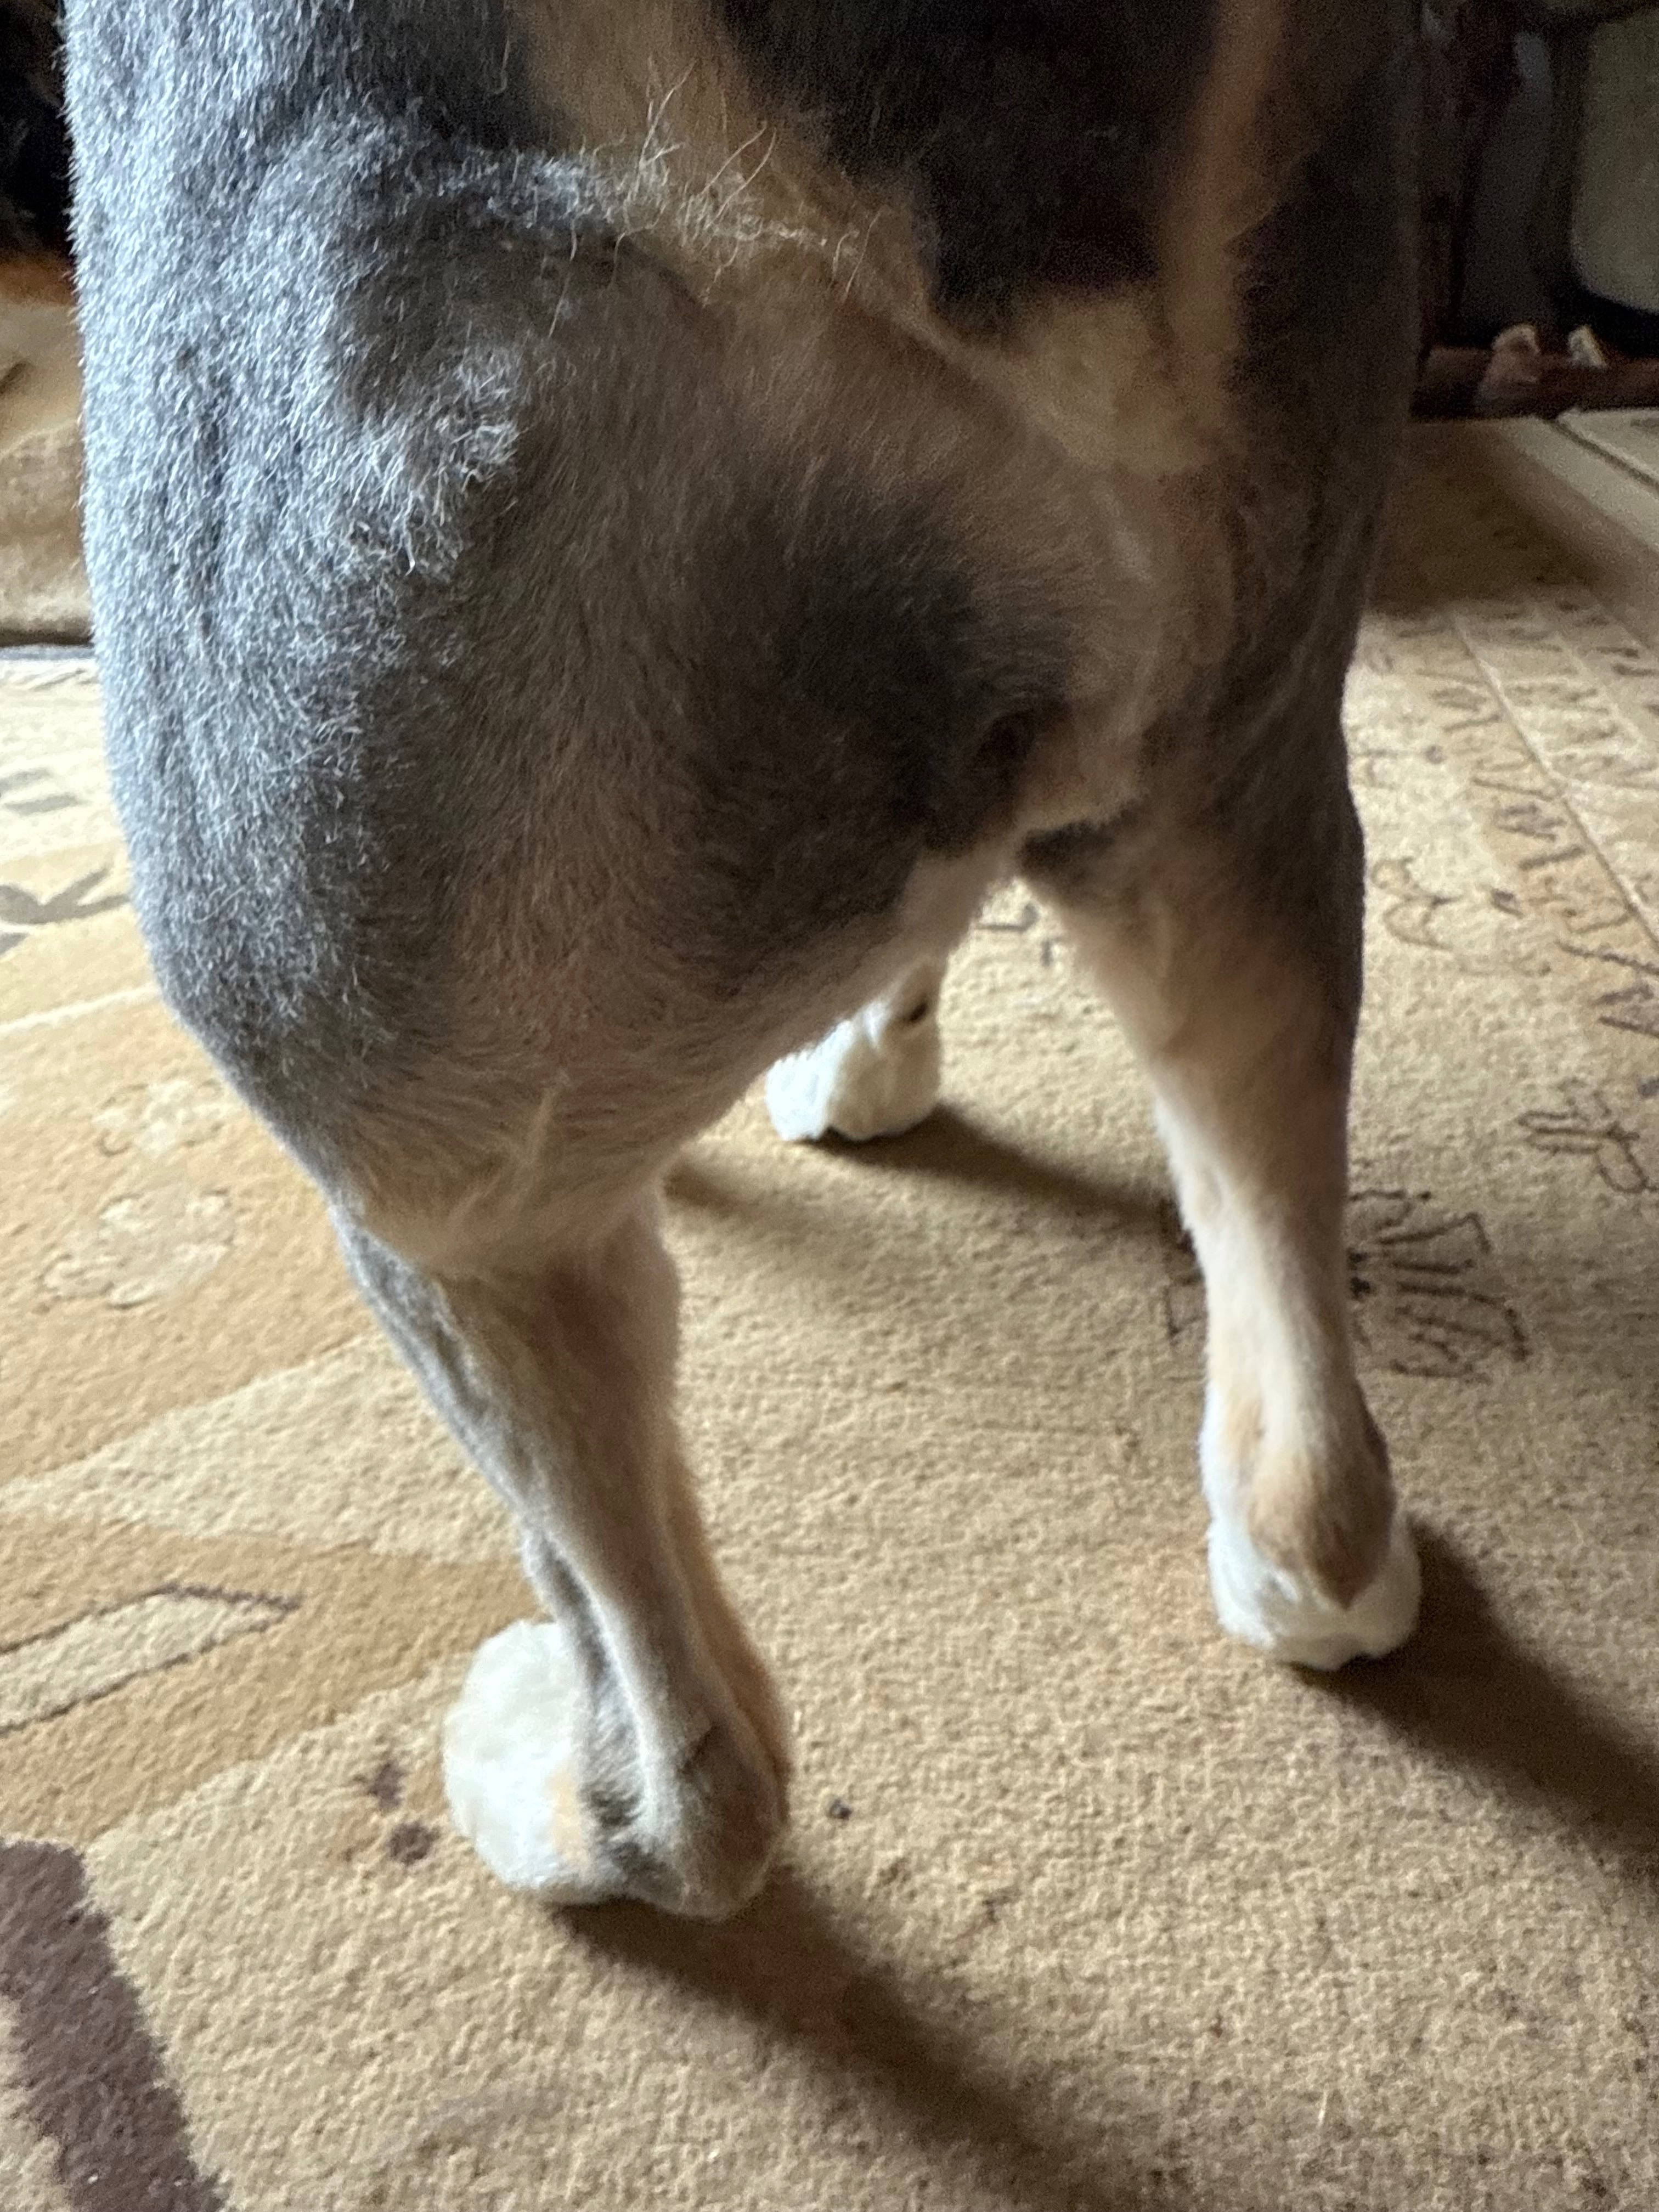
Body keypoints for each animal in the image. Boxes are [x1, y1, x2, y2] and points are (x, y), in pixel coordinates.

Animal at [51, 0, 1423, 1917]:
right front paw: (863, 1064)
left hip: (406, 1116)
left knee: (702, 1774)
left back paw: (557, 1797)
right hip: (1245, 744)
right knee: (1310, 1424)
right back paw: (1316, 1575)